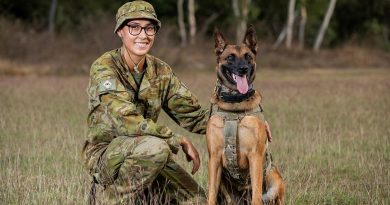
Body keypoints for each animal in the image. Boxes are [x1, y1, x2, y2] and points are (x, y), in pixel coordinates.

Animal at [206, 25, 284, 205]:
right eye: (230, 57)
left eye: (248, 56)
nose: (243, 69)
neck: (234, 104)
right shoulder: (214, 158)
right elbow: (211, 194)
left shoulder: (255, 156)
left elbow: (256, 195)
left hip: (274, 177)